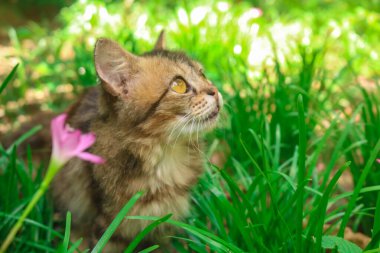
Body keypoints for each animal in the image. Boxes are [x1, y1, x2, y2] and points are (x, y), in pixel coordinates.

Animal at [51, 32, 223, 251]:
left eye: (202, 74)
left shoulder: (166, 226)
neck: (164, 157)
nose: (215, 90)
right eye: (179, 85)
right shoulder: (106, 227)